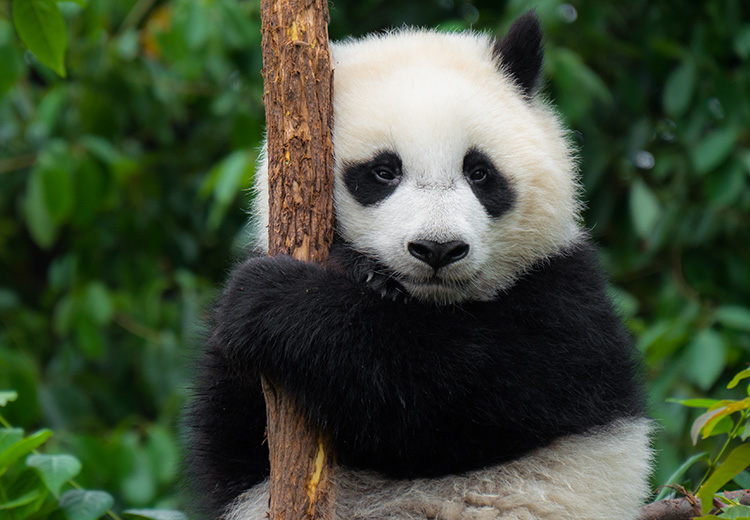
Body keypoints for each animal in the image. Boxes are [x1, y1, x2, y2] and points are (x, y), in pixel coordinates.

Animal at [188, 11, 652, 520]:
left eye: (479, 172)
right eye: (383, 172)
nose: (438, 249)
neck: (432, 304)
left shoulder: (565, 298)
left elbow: (453, 394)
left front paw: (276, 300)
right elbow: (232, 438)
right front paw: (359, 271)